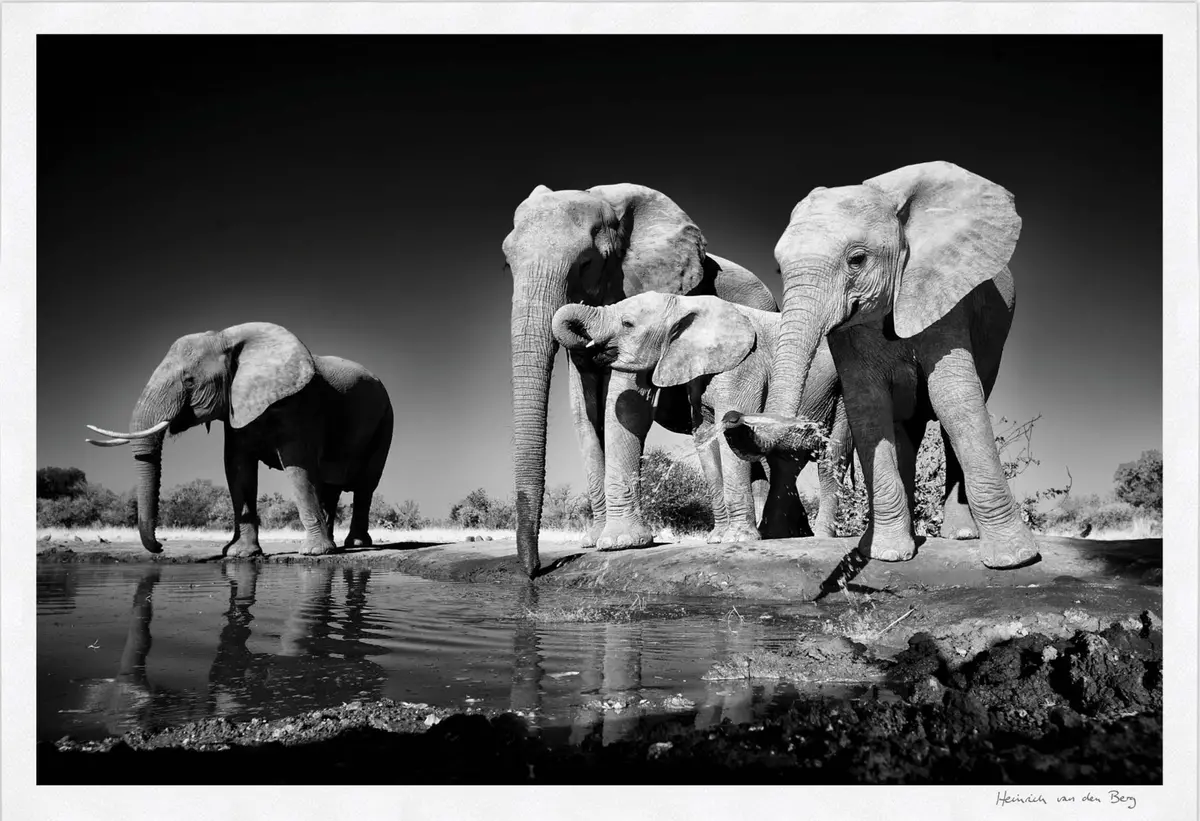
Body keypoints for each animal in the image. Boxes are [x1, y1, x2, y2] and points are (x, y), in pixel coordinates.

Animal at [86, 322, 393, 558]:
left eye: (189, 381)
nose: (161, 546)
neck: (227, 338)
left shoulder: (299, 407)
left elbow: (299, 470)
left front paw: (314, 554)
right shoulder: (234, 409)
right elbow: (238, 469)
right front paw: (240, 554)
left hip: (385, 421)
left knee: (366, 485)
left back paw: (354, 545)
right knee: (332, 486)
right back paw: (338, 545)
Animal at [505, 183, 778, 577]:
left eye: (586, 263)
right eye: (507, 264)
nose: (535, 570)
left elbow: (627, 402)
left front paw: (620, 543)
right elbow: (583, 409)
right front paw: (594, 542)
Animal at [552, 291, 855, 542]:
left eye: (627, 324)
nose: (589, 352)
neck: (684, 304)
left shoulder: (744, 367)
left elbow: (726, 441)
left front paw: (736, 539)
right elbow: (705, 439)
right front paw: (718, 539)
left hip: (842, 394)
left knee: (831, 458)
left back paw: (821, 536)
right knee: (785, 463)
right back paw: (777, 534)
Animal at [724, 160, 1039, 570]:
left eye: (857, 259)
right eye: (779, 270)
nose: (732, 417)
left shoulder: (944, 291)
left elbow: (954, 397)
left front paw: (1014, 559)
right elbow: (868, 406)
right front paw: (888, 555)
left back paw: (961, 535)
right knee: (905, 431)